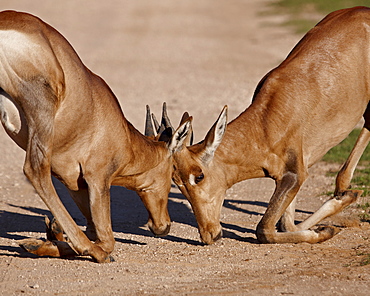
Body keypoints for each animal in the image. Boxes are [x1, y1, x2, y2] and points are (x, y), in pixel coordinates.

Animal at [0, 10, 180, 262]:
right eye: (173, 170)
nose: (163, 226)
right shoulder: (97, 179)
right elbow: (106, 240)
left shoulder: (73, 182)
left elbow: (92, 228)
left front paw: (49, 236)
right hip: (41, 105)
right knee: (35, 170)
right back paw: (91, 250)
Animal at [168, 6, 370, 246]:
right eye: (175, 180)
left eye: (199, 176)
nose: (209, 234)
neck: (266, 123)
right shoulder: (291, 175)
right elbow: (286, 224)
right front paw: (328, 221)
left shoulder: (295, 174)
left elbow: (264, 229)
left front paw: (327, 228)